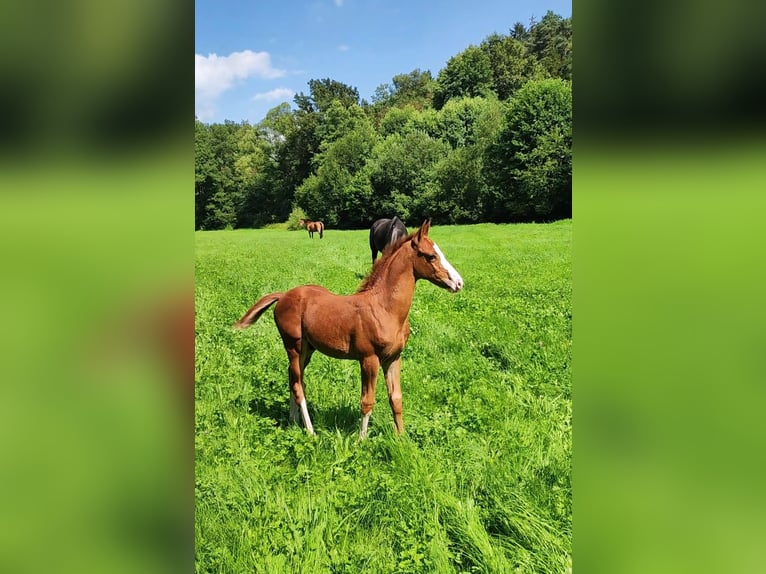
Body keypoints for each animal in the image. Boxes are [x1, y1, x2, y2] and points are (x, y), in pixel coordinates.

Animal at [234, 220, 462, 440]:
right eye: (431, 256)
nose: (459, 283)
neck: (384, 308)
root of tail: (283, 296)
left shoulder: (394, 358)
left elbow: (396, 398)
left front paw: (402, 439)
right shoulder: (369, 359)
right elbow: (367, 401)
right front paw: (361, 441)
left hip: (307, 349)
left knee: (293, 379)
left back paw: (293, 421)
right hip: (293, 346)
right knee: (298, 385)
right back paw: (311, 432)